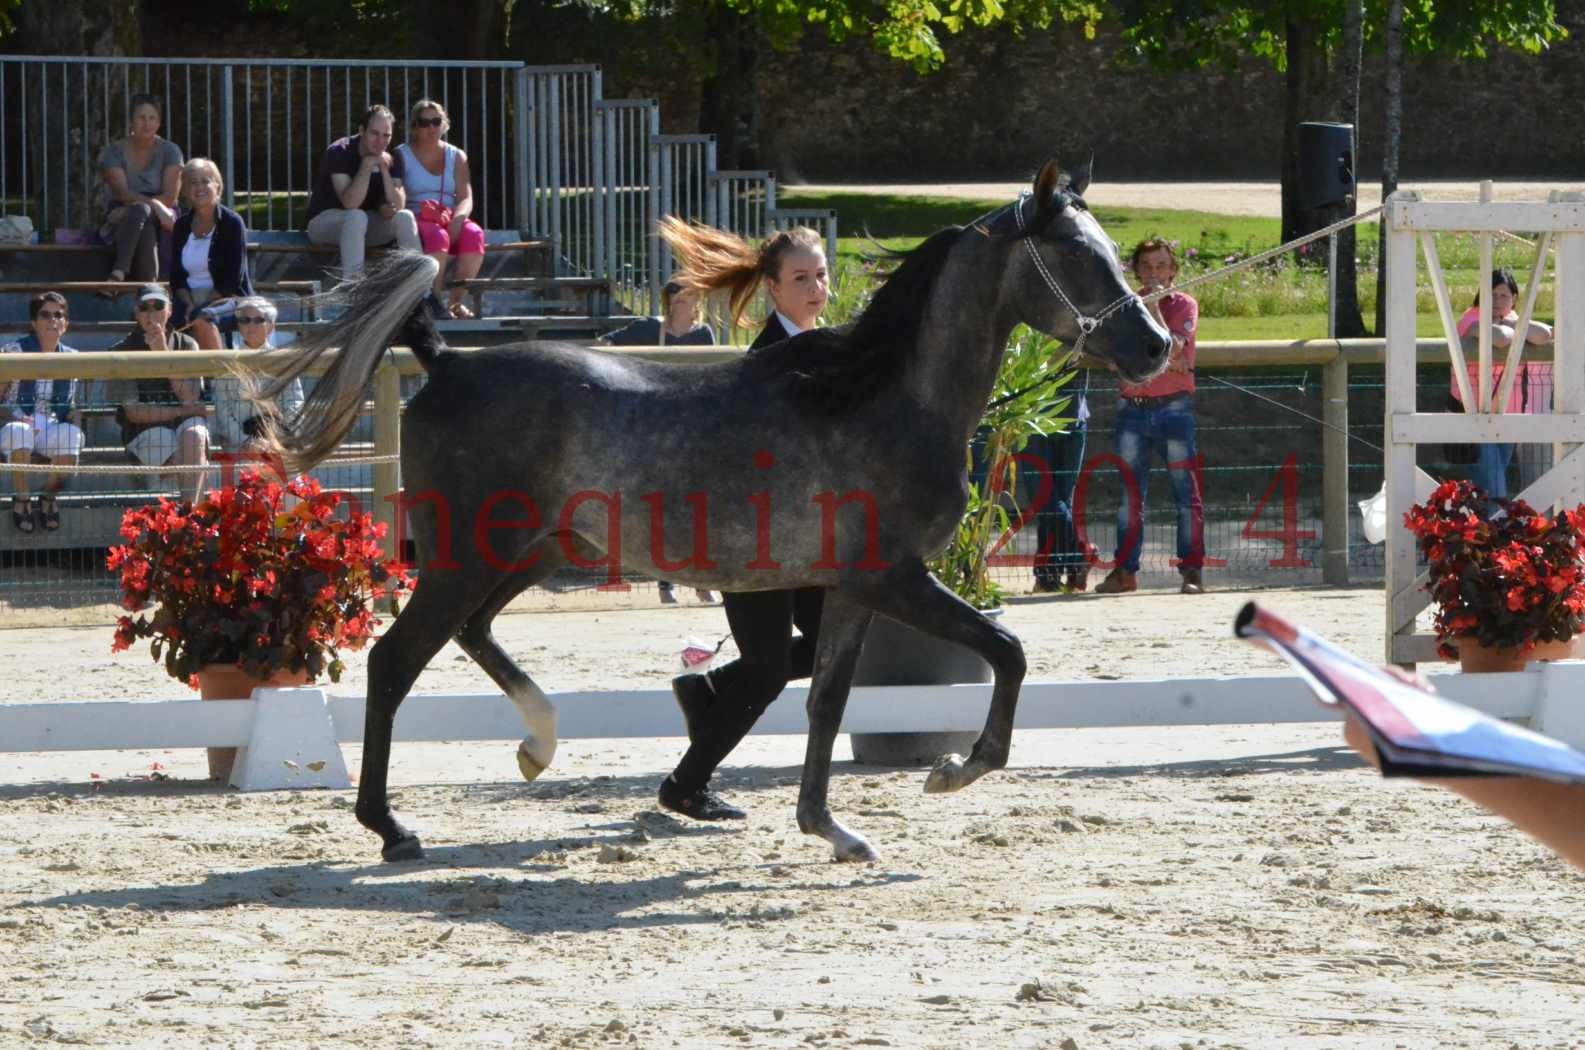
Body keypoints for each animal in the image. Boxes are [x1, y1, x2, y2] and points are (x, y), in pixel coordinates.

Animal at [256, 158, 1179, 862]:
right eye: (1077, 255)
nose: (1155, 345)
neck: (882, 395)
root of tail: (445, 359)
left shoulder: (851, 589)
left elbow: (827, 701)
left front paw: (830, 829)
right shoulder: (894, 577)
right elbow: (1006, 650)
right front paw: (954, 770)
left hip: (535, 552)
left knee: (474, 635)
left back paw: (539, 744)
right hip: (465, 558)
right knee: (394, 662)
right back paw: (393, 827)